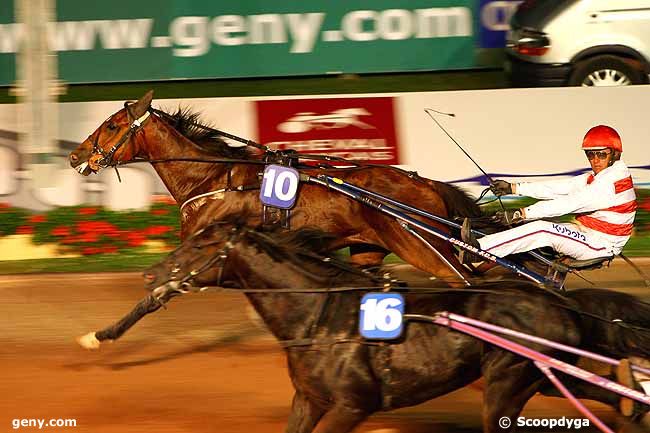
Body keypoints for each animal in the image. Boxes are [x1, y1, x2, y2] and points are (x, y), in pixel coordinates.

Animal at [67, 90, 480, 284]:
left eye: (112, 126)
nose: (75, 155)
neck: (210, 179)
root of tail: (427, 183)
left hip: (419, 246)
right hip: (368, 250)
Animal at [77, 219, 648, 432]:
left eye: (201, 243)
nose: (151, 274)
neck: (318, 316)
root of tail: (559, 301)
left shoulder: (353, 405)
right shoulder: (309, 399)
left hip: (509, 382)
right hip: (549, 373)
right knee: (604, 396)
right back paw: (631, 409)